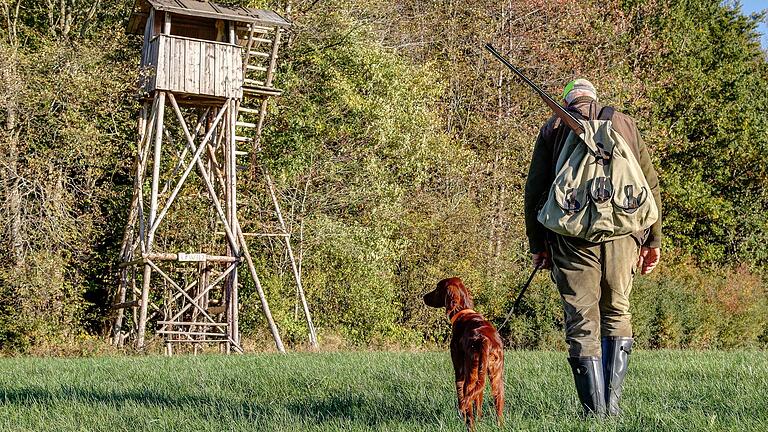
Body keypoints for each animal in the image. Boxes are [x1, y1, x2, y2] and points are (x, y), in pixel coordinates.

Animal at [420, 278, 504, 430]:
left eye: (437, 288)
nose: (424, 297)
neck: (463, 312)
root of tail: (485, 340)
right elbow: (478, 400)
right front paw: (480, 419)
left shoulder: (459, 371)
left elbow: (462, 398)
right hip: (496, 377)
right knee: (497, 403)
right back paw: (500, 426)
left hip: (470, 375)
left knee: (467, 403)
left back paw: (469, 426)